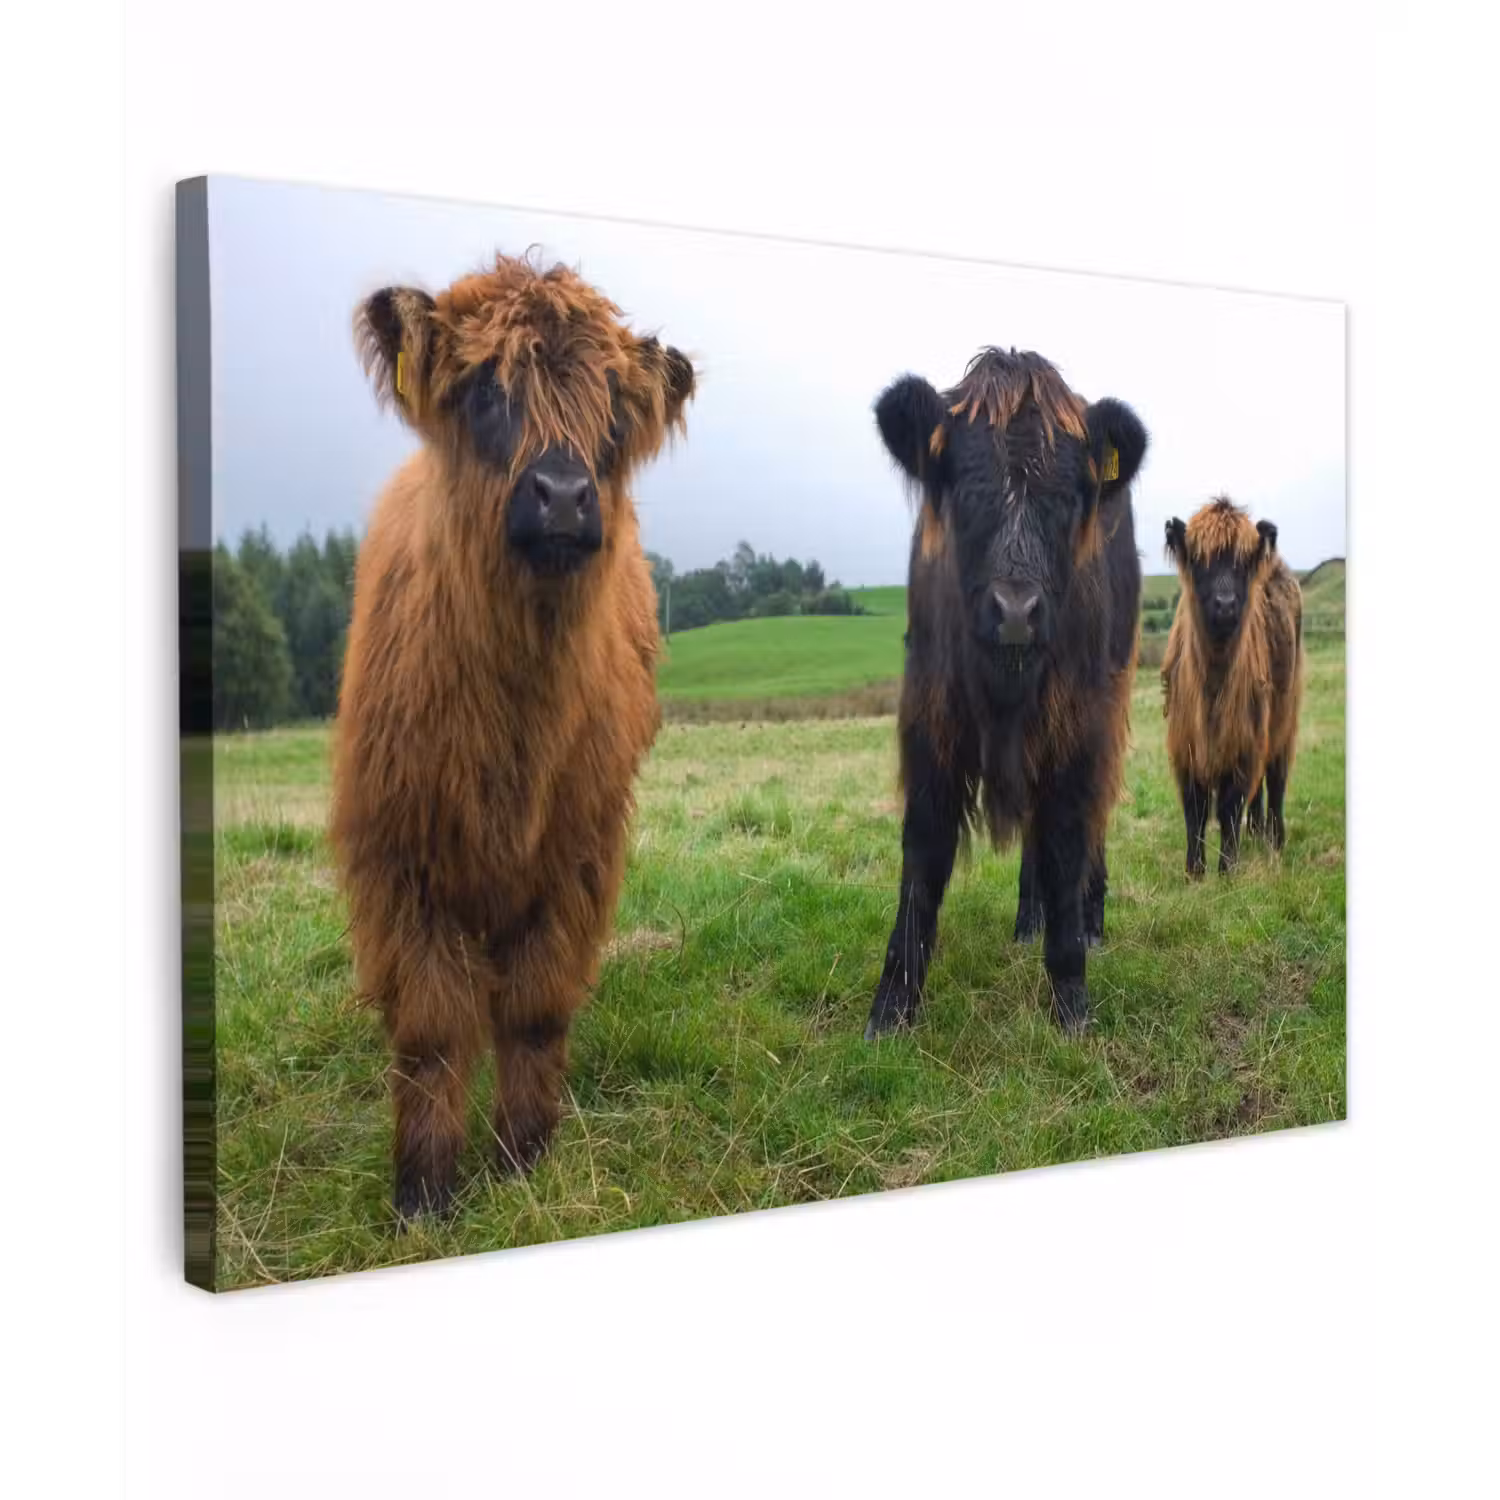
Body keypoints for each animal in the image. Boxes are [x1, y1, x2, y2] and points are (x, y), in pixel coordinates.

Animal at [329, 252, 695, 1222]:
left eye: (613, 412)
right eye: (486, 391)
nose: (564, 496)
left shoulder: (577, 855)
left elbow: (534, 1007)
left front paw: (523, 1156)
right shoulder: (398, 860)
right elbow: (429, 1026)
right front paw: (423, 1189)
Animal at [864, 348, 1148, 1039]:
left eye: (1070, 496)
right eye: (966, 487)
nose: (1016, 610)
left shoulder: (1077, 727)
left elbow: (1068, 839)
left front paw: (1071, 1000)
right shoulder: (930, 720)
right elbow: (924, 854)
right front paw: (892, 1007)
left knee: (1088, 823)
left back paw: (1089, 923)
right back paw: (1026, 921)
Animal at [1161, 495, 1304, 876]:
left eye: (1241, 564)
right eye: (1200, 561)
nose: (1225, 604)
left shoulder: (1244, 742)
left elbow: (1229, 805)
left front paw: (1228, 869)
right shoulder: (1185, 745)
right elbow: (1195, 810)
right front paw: (1194, 870)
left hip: (1284, 718)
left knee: (1276, 778)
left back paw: (1275, 839)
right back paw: (1255, 831)